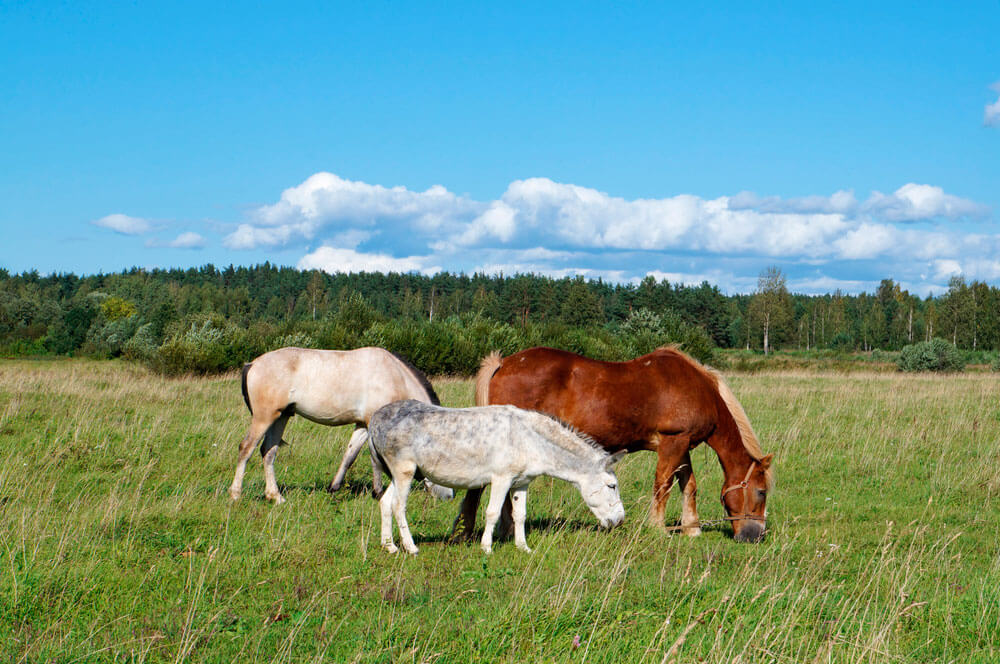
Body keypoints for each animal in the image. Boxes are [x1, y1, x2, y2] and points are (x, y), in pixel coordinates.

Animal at [227, 348, 454, 504]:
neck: (394, 376)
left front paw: (334, 487)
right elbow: (375, 460)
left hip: (281, 416)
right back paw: (236, 494)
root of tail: (253, 364)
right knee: (246, 448)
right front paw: (378, 492)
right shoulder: (372, 423)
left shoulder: (362, 425)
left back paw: (275, 496)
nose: (449, 496)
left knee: (268, 452)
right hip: (264, 417)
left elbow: (349, 456)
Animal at [370, 400, 624, 556]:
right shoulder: (502, 479)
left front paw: (523, 547)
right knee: (398, 506)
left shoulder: (522, 483)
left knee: (385, 503)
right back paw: (410, 547)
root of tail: (376, 417)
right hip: (405, 471)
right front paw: (487, 548)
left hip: (399, 474)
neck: (530, 440)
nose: (620, 521)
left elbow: (520, 515)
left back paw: (389, 546)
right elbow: (492, 513)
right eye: (612, 486)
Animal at [458, 344, 776, 544]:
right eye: (761, 492)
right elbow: (663, 485)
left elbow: (689, 486)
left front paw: (691, 528)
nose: (756, 536)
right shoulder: (673, 443)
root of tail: (503, 363)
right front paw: (658, 529)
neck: (699, 389)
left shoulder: (683, 445)